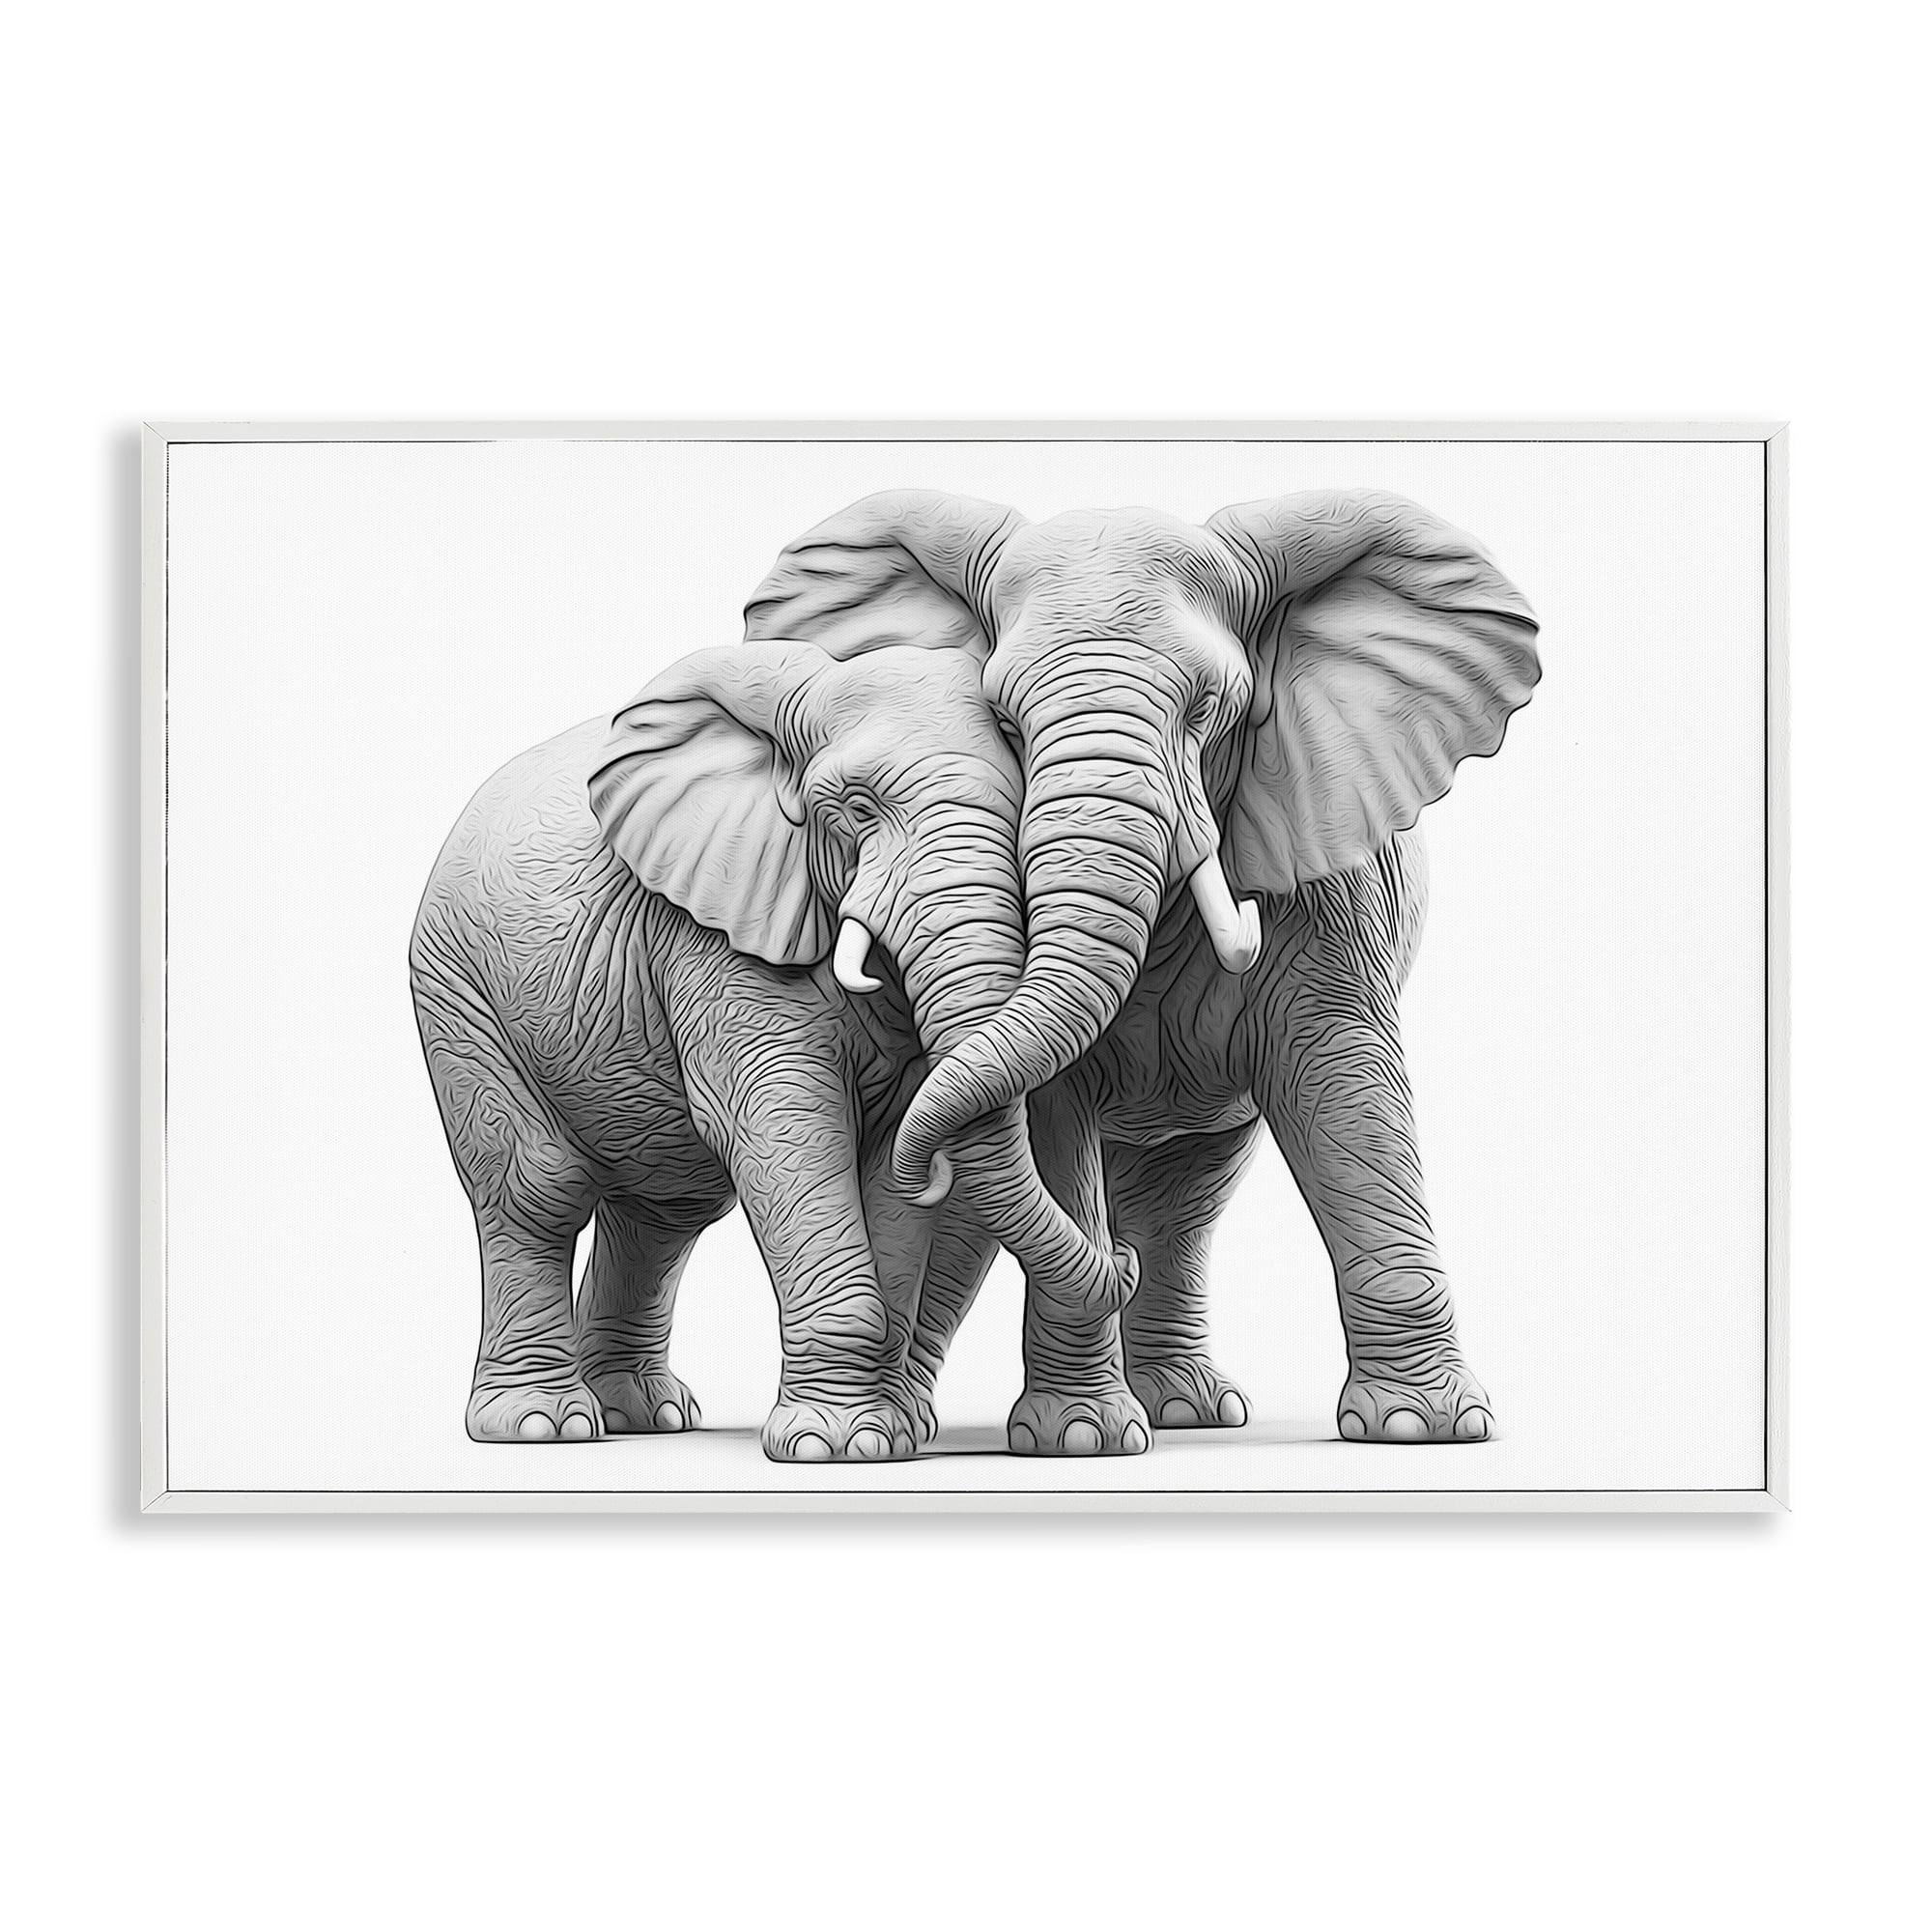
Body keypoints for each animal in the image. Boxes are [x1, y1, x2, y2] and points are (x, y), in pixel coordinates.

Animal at [409, 639, 1137, 1461]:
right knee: (536, 1189)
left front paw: (883, 1440)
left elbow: (887, 1157)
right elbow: (786, 1125)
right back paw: (543, 1426)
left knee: (664, 1212)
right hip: (458, 988)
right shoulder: (716, 931)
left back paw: (643, 1415)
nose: (1127, 1259)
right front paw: (836, 1446)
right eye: (855, 810)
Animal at [740, 487, 1540, 1448]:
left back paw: (1190, 1409)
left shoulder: (1331, 875)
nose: (1109, 1262)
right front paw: (1080, 1439)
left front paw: (1426, 1429)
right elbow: (1053, 1110)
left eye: (1210, 708)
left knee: (1186, 1197)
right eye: (1003, 721)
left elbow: (1347, 1092)